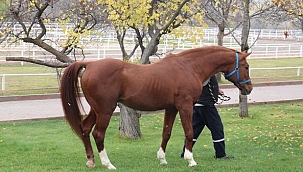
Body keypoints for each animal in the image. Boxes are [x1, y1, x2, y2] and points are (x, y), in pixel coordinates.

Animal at [60, 45, 253, 169]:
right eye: (246, 66)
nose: (249, 88)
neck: (189, 67)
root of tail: (91, 64)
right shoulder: (185, 106)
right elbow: (189, 132)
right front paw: (190, 160)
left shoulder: (171, 108)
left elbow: (166, 133)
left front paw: (162, 159)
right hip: (105, 110)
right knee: (98, 134)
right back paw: (108, 164)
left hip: (96, 110)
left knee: (85, 129)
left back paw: (91, 161)